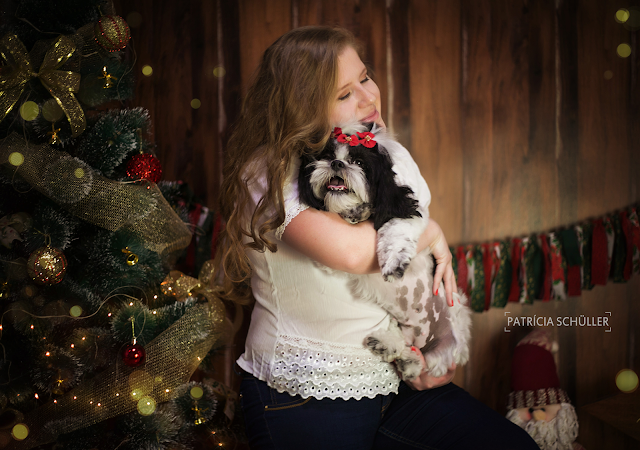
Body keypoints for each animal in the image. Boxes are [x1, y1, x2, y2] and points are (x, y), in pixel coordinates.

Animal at [298, 123, 470, 380]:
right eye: (326, 156)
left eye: (359, 163)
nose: (337, 163)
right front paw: (354, 212)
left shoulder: (407, 216)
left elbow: (396, 231)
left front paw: (394, 262)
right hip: (403, 329)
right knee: (408, 352)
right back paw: (393, 349)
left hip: (449, 340)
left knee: (430, 363)